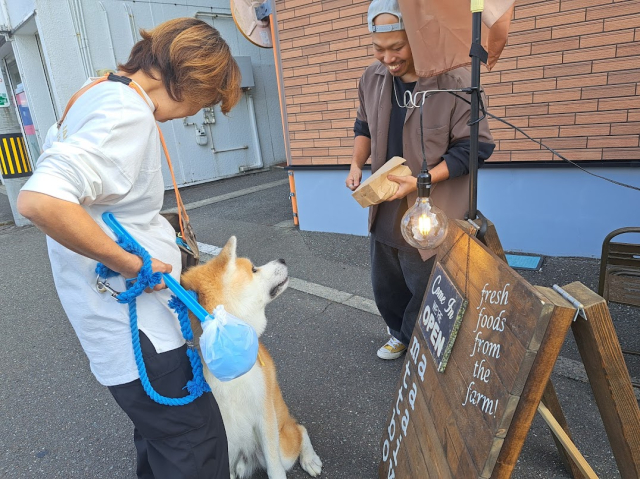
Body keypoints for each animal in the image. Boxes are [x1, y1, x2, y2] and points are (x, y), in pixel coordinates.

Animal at [180, 237, 322, 479]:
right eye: (254, 269)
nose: (282, 259)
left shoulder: (264, 416)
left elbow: (275, 470)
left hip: (282, 444)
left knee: (299, 429)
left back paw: (310, 459)